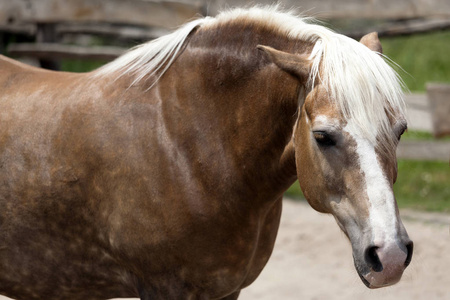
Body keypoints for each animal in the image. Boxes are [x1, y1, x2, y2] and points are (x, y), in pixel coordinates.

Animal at [0, 5, 414, 300]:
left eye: (400, 130)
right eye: (323, 136)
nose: (391, 256)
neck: (188, 148)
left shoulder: (227, 290)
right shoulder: (165, 289)